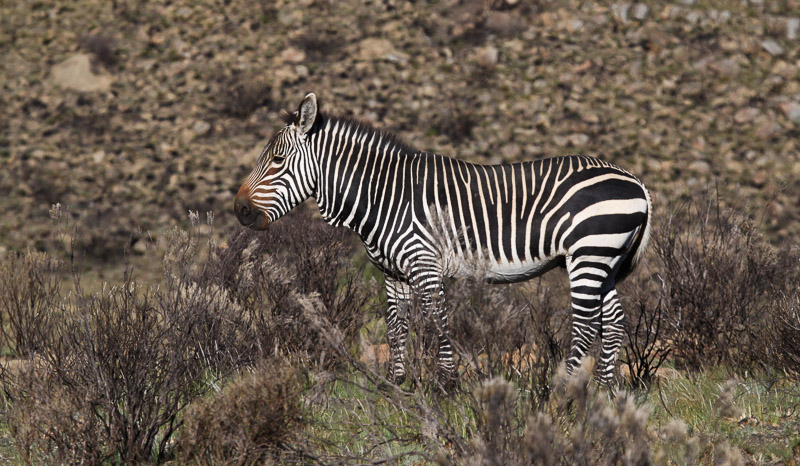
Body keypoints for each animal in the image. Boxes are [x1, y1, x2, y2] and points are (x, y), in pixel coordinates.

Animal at [234, 93, 652, 388]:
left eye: (277, 160)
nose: (240, 210)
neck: (383, 195)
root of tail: (635, 179)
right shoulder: (393, 273)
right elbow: (396, 326)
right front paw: (397, 386)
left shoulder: (425, 263)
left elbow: (437, 321)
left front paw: (446, 385)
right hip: (605, 260)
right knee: (614, 321)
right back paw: (603, 391)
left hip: (589, 252)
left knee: (586, 324)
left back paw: (563, 390)